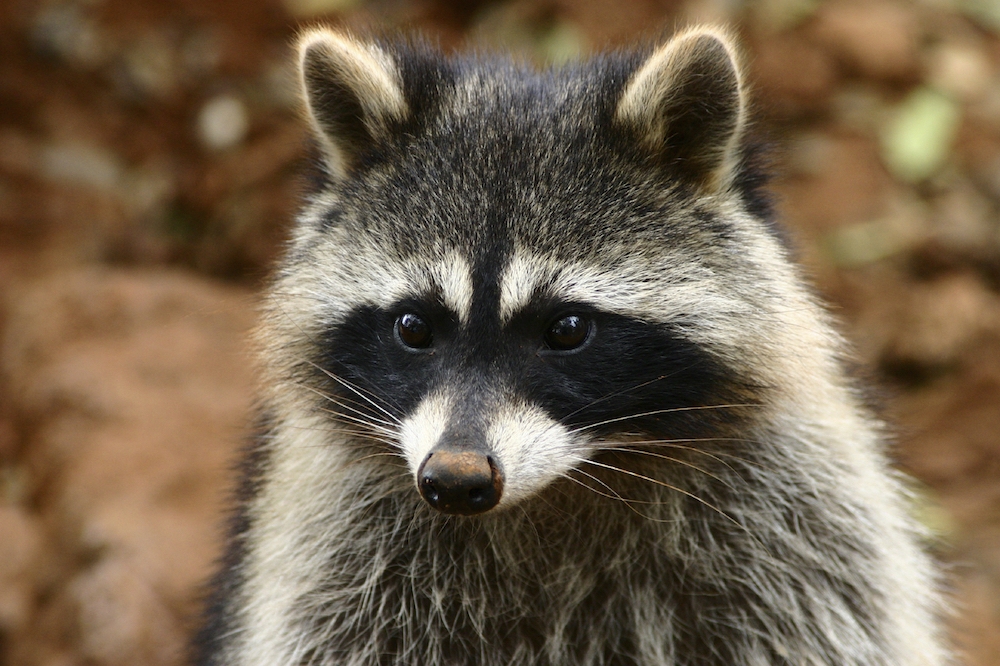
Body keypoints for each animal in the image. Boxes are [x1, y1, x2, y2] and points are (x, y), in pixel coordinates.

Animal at [194, 26, 950, 666]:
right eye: (413, 328)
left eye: (566, 330)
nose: (456, 480)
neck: (562, 486)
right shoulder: (333, 554)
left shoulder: (800, 524)